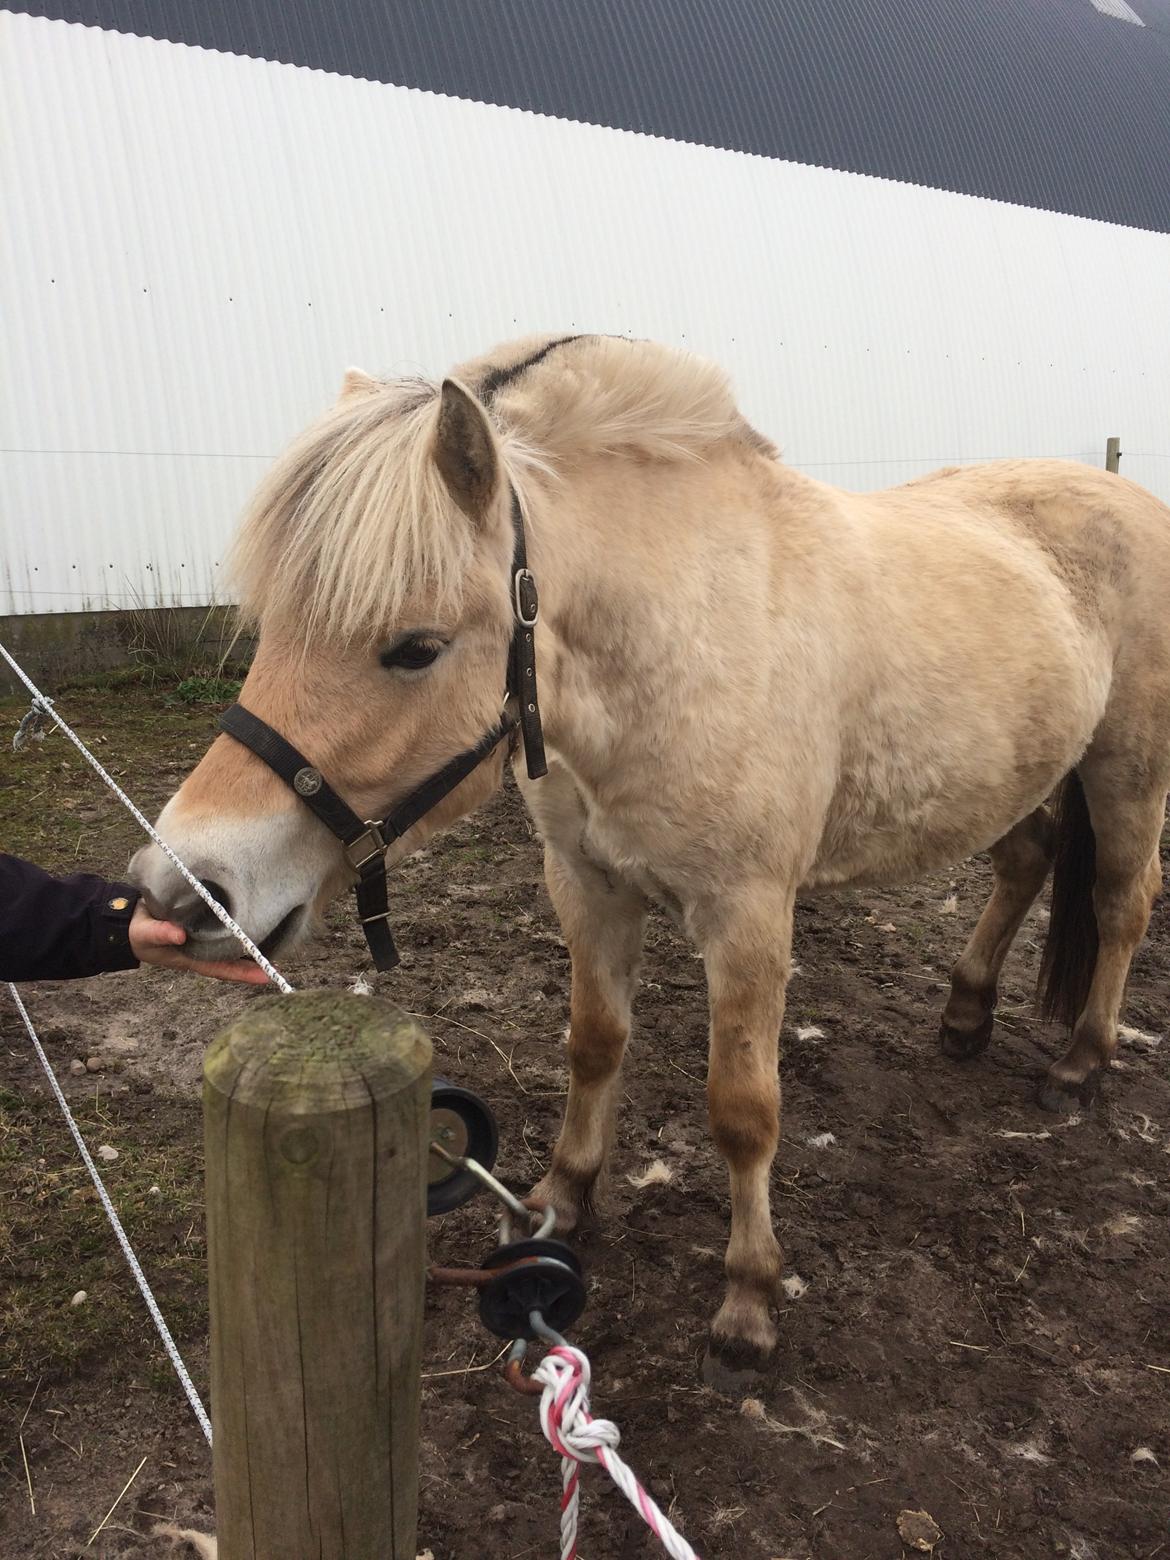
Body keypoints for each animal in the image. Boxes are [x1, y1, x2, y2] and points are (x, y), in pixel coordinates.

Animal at [130, 335, 1170, 1372]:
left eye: (416, 648)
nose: (183, 889)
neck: (680, 634)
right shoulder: (587, 887)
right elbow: (595, 1046)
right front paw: (560, 1201)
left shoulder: (748, 916)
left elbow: (743, 1110)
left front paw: (749, 1296)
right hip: (1022, 773)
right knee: (1025, 865)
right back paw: (965, 1014)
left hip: (1124, 773)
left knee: (1120, 904)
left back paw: (1080, 1065)